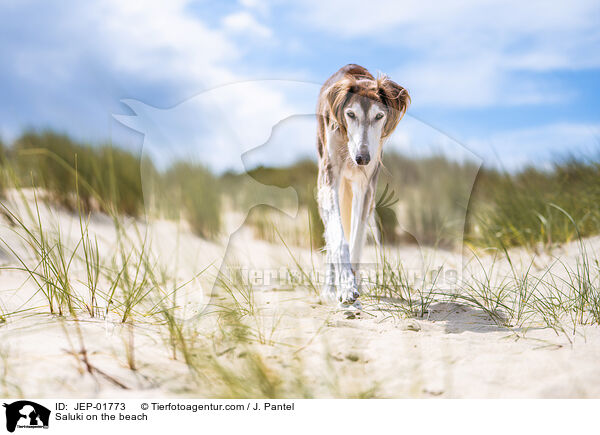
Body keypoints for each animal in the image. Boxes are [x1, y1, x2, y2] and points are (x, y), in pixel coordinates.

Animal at [316, 64, 410, 308]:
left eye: (379, 116)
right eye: (350, 114)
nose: (362, 159)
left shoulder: (366, 186)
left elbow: (356, 240)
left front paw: (352, 285)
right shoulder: (329, 179)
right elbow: (339, 239)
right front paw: (345, 287)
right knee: (330, 236)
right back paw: (329, 289)